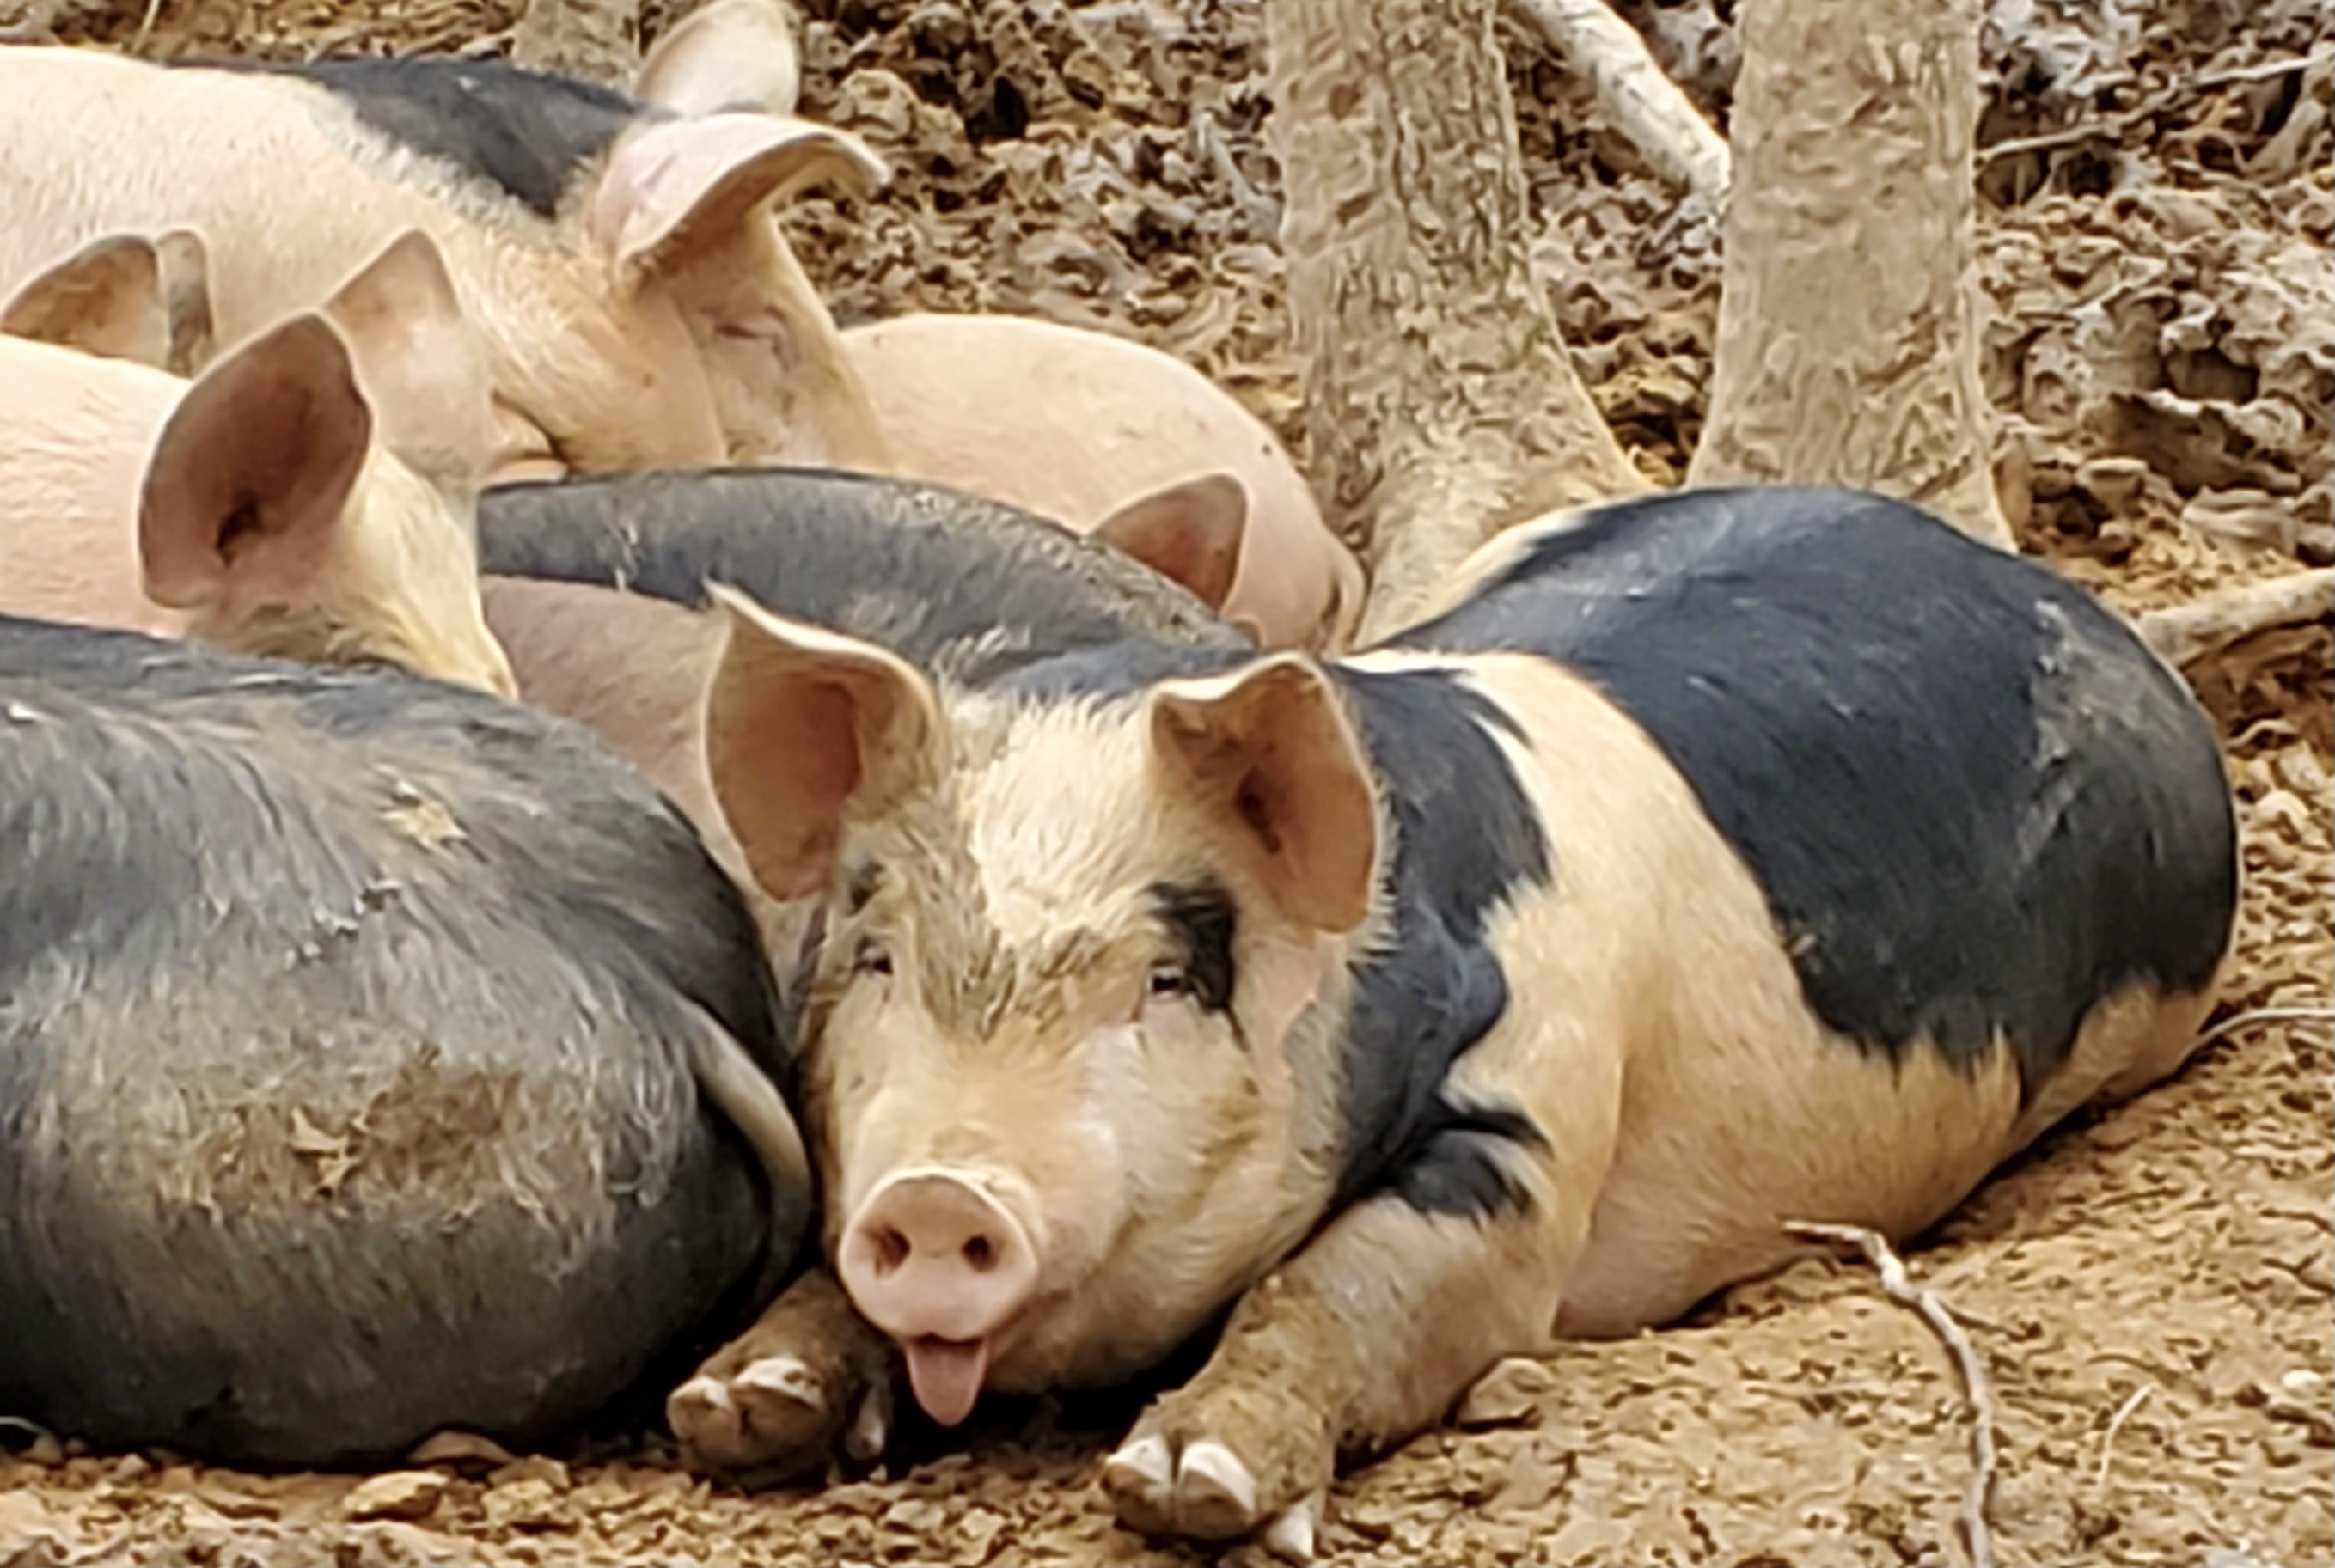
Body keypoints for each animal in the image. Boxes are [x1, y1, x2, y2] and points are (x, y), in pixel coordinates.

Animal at [664, 483, 2238, 1551]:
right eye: (876, 960)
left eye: (1163, 981)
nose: (937, 1198)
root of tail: (2065, 599)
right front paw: (735, 1411)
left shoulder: (1533, 1133)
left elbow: (1348, 1287)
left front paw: (1188, 1488)